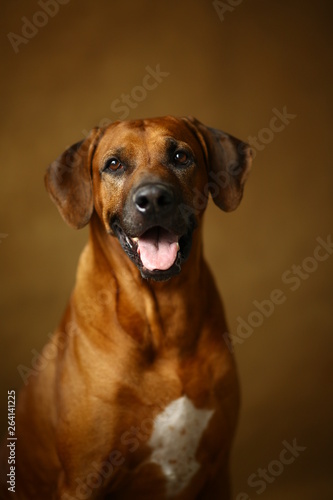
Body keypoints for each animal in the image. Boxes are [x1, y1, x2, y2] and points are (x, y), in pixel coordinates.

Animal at [0, 115, 252, 498]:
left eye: (180, 156)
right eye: (114, 164)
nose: (153, 199)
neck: (163, 318)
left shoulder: (217, 471)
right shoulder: (81, 481)